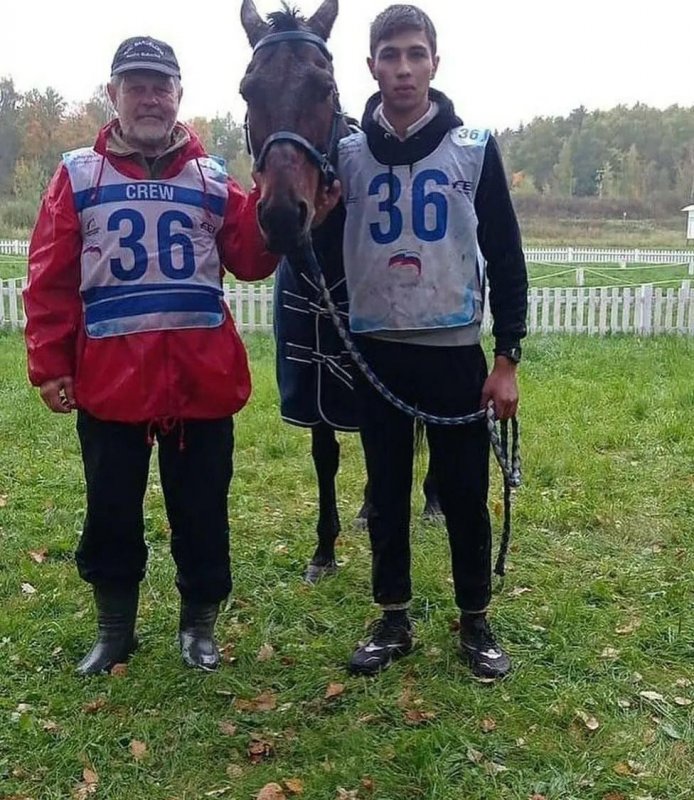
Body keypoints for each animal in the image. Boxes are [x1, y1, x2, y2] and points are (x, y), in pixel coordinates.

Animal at [242, 0, 444, 580]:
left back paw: (430, 502)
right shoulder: (313, 381)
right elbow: (326, 453)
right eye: (248, 90)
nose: (282, 216)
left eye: (325, 87)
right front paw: (324, 549)